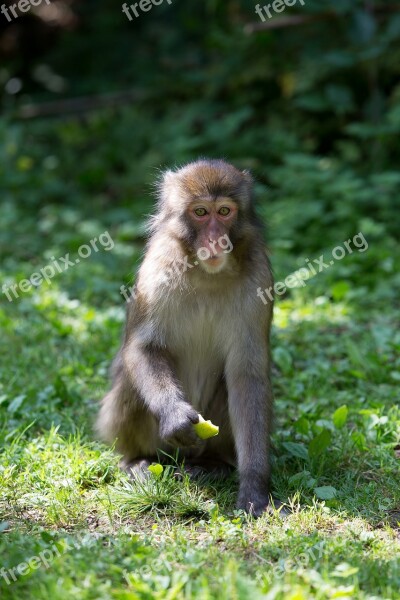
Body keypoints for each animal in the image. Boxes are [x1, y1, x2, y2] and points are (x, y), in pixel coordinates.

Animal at [97, 159, 276, 516]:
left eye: (224, 211)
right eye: (200, 212)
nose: (216, 238)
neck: (207, 274)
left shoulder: (259, 276)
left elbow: (247, 376)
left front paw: (254, 486)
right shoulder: (157, 267)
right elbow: (142, 348)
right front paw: (175, 415)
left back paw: (212, 464)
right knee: (131, 381)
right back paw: (138, 460)